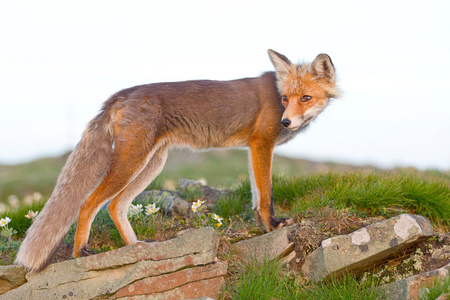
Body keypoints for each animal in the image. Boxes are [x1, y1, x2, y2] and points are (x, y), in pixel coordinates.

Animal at [14, 49, 340, 272]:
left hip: (152, 163)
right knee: (89, 203)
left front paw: (263, 225)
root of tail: (121, 94)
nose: (285, 122)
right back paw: (81, 253)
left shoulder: (253, 148)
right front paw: (272, 226)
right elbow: (265, 194)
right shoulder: (261, 143)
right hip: (131, 161)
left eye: (306, 98)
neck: (276, 97)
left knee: (116, 206)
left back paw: (136, 249)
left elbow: (256, 194)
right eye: (285, 98)